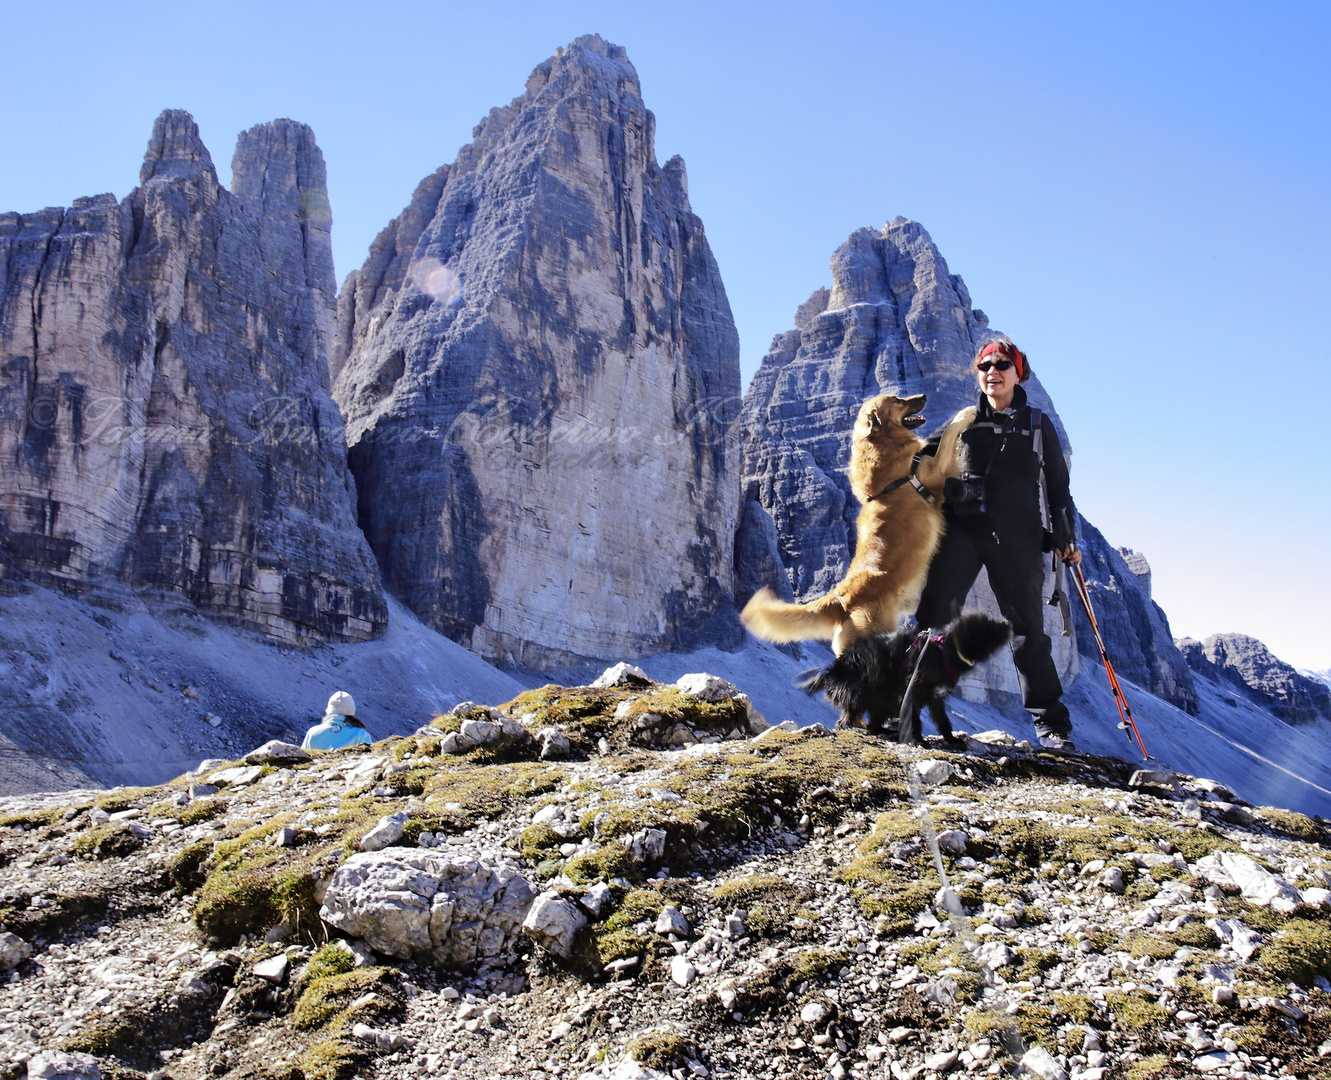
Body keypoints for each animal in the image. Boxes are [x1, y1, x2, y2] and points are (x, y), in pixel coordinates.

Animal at [798, 612, 1006, 745]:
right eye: (989, 624)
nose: (1006, 622)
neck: (944, 652)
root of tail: (835, 670)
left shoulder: (935, 696)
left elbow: (942, 718)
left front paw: (951, 739)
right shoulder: (911, 689)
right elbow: (914, 717)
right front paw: (918, 740)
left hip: (880, 700)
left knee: (873, 724)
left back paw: (885, 730)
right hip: (866, 692)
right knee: (846, 721)